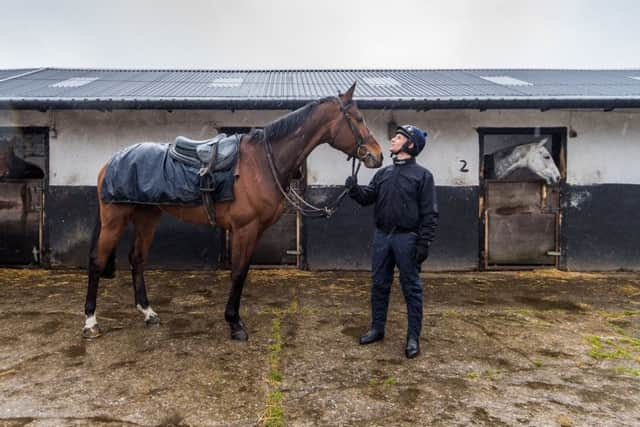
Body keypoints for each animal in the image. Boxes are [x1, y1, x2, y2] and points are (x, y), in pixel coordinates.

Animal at [85, 83, 384, 342]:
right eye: (358, 118)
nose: (377, 155)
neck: (262, 162)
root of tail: (110, 161)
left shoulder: (255, 231)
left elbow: (244, 271)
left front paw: (234, 320)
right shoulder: (244, 229)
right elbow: (238, 273)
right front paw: (235, 324)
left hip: (147, 217)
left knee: (137, 259)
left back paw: (148, 313)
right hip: (114, 220)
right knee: (97, 261)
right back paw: (90, 323)